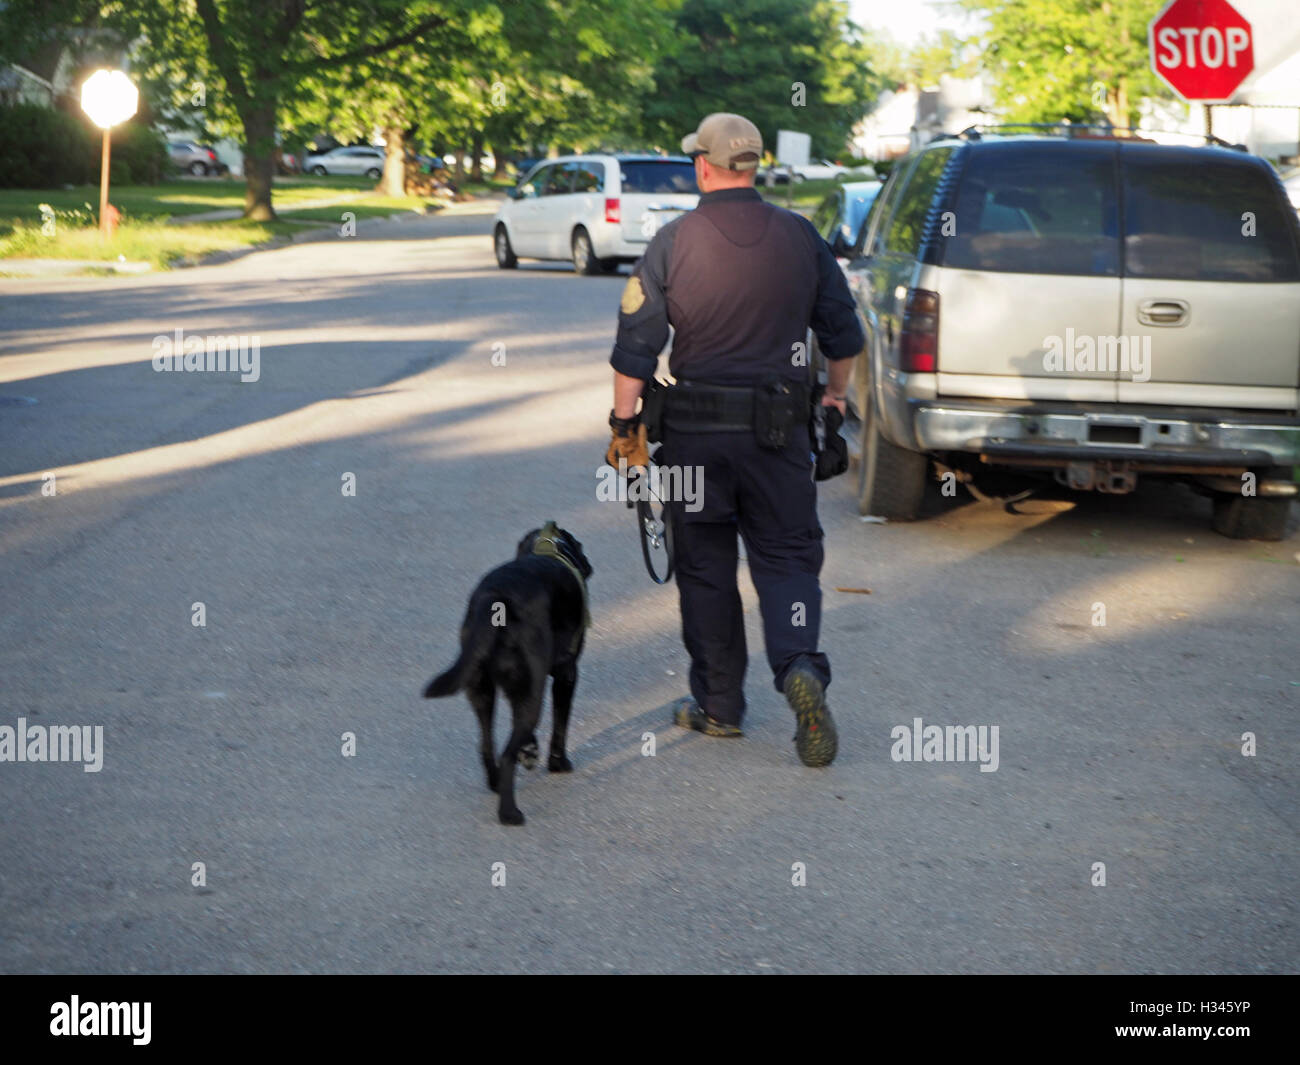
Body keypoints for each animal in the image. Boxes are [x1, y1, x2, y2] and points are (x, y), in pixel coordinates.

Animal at [421, 520, 595, 827]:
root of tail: (494, 599)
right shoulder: (566, 674)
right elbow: (560, 724)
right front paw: (558, 763)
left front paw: (531, 750)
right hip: (532, 689)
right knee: (506, 752)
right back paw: (509, 813)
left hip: (481, 690)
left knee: (488, 746)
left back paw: (496, 782)